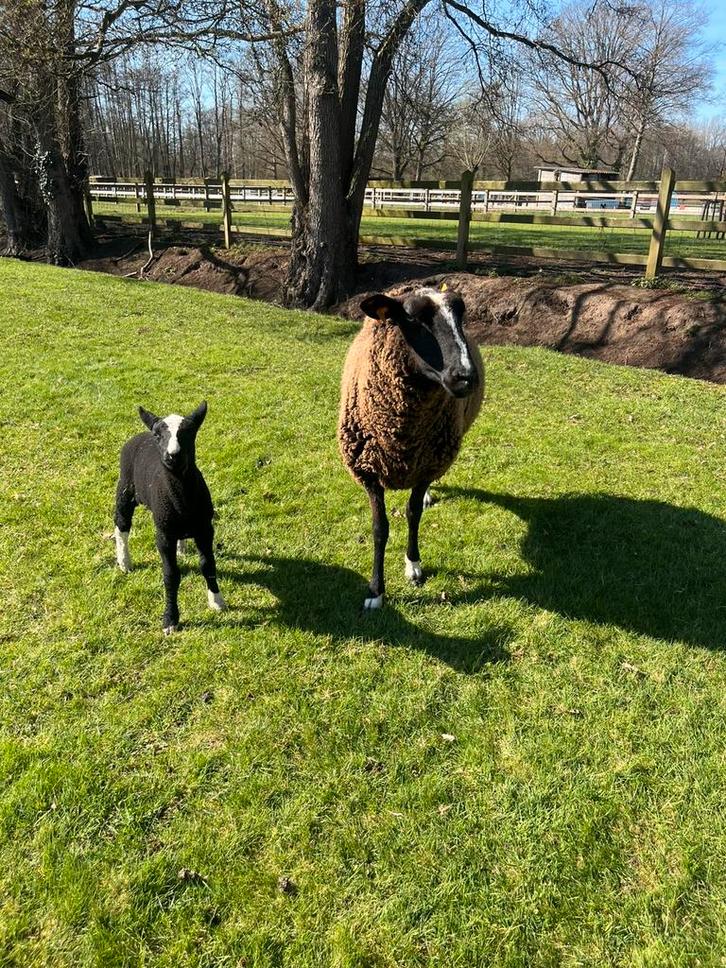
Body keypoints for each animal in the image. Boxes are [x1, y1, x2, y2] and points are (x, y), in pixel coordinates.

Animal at [113, 400, 226, 633]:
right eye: (158, 435)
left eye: (189, 432)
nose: (173, 455)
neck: (182, 497)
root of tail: (141, 434)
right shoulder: (164, 534)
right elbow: (171, 575)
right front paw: (170, 619)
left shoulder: (205, 528)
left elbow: (208, 564)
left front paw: (216, 601)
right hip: (125, 488)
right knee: (121, 525)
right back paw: (124, 561)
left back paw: (181, 548)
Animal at [338, 286, 484, 609]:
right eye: (413, 319)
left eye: (461, 316)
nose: (466, 377)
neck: (400, 435)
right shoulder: (368, 471)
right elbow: (380, 529)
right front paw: (375, 592)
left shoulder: (427, 465)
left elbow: (412, 513)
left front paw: (413, 565)